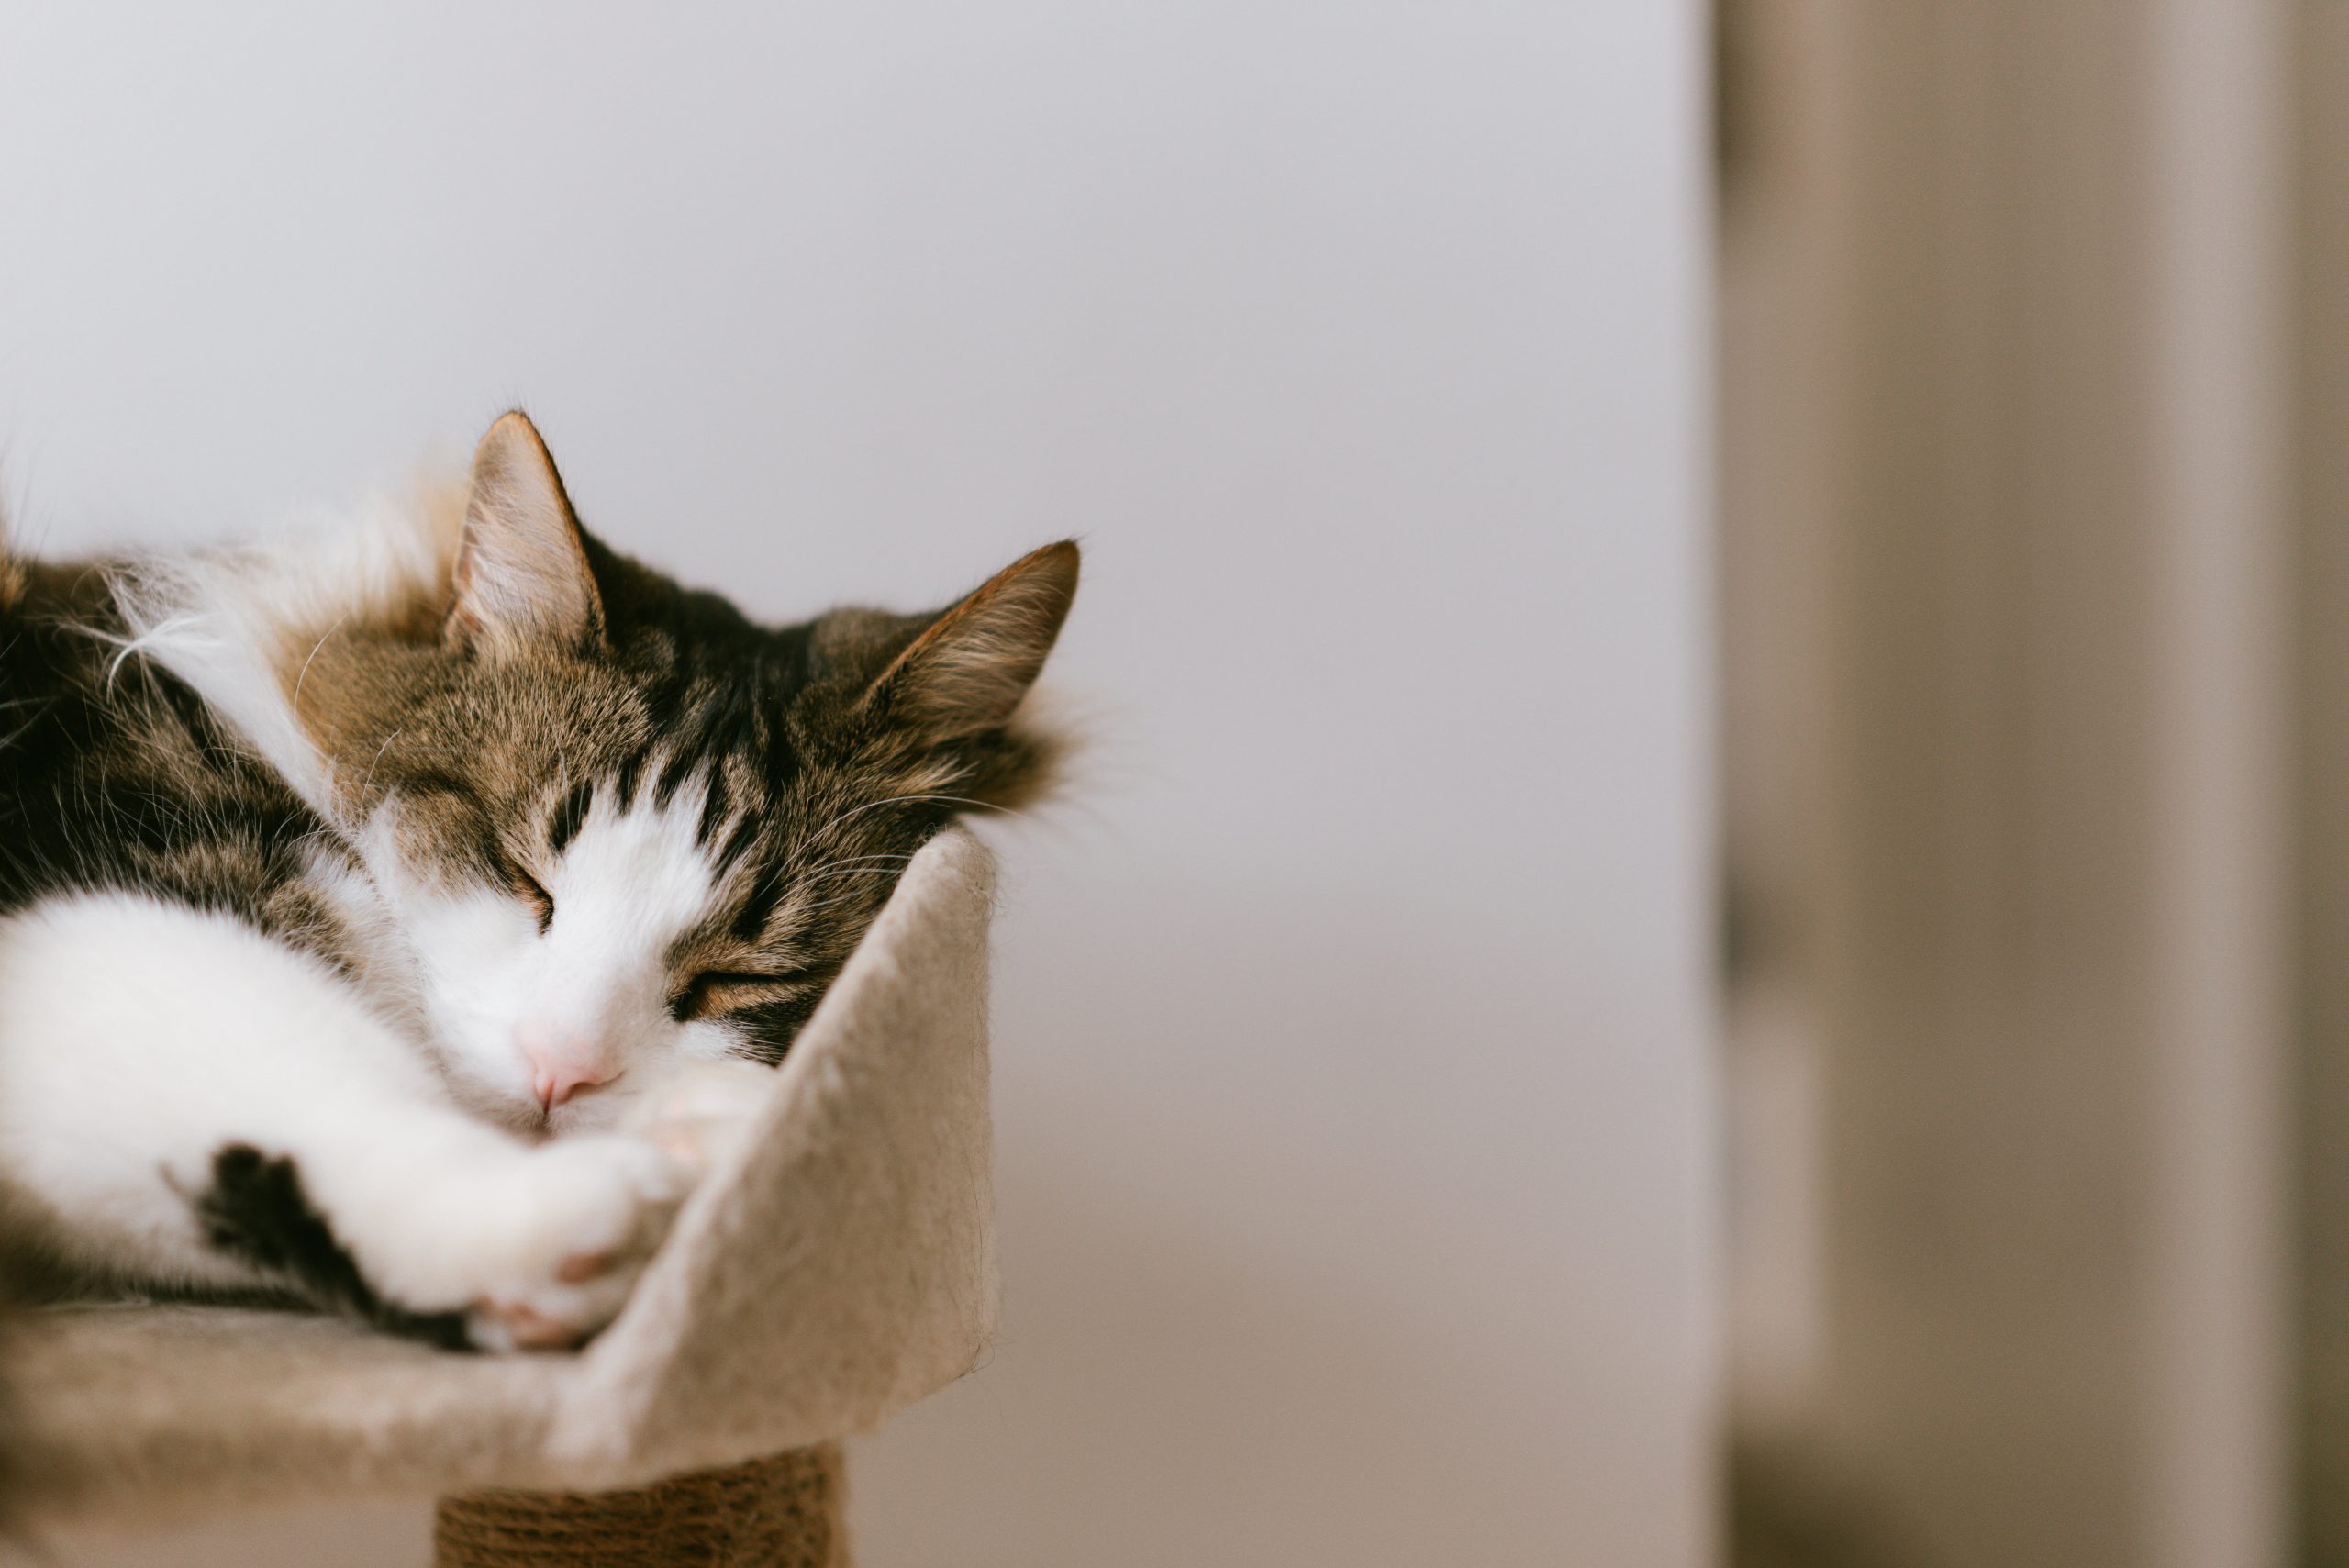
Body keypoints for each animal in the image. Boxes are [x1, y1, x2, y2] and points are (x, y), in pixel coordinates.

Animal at [0, 413, 1075, 1351]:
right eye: (522, 877)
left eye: (742, 976)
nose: (563, 1069)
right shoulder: (109, 881)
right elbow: (313, 1074)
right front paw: (598, 1197)